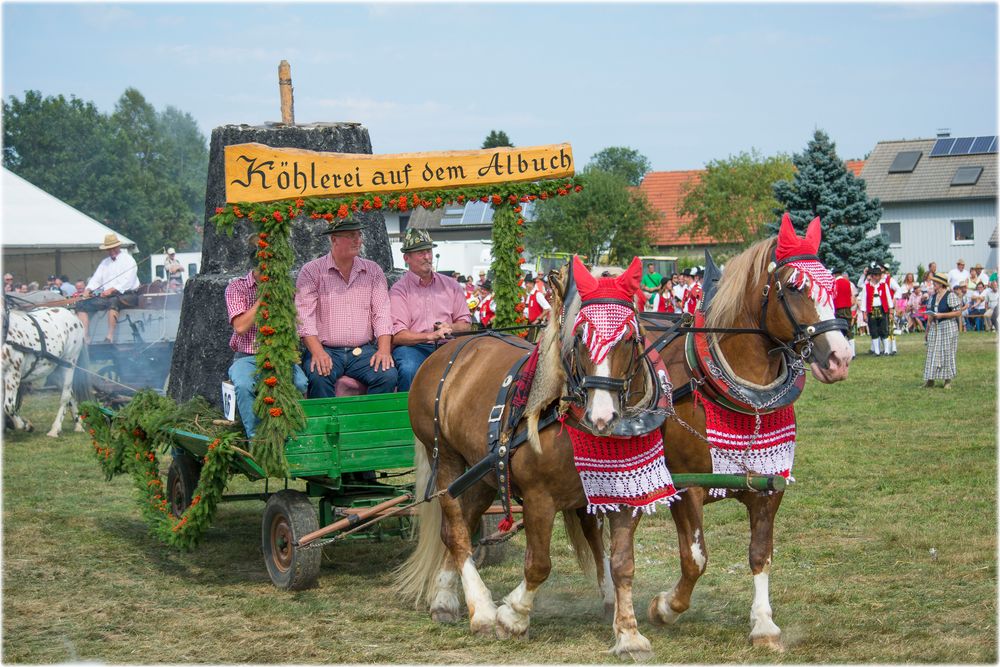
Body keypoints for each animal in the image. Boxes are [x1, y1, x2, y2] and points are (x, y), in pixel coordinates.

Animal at [2, 298, 92, 438]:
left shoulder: (13, 373)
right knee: (70, 395)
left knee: (65, 395)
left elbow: (8, 406)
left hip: (68, 364)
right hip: (55, 371)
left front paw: (26, 426)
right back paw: (78, 425)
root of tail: (72, 314)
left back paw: (55, 429)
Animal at [394, 258, 668, 660]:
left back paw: (445, 599)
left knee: (457, 526)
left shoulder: (625, 496)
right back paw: (481, 610)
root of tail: (450, 347)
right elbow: (538, 564)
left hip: (484, 473)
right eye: (580, 336)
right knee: (457, 530)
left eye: (630, 339)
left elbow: (622, 565)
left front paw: (629, 635)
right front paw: (512, 618)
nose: (603, 416)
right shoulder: (540, 499)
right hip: (445, 459)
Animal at [648, 215, 852, 652]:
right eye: (794, 287)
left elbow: (761, 553)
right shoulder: (685, 485)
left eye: (833, 285)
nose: (839, 358)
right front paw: (665, 607)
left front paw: (763, 624)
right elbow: (695, 559)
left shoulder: (769, 485)